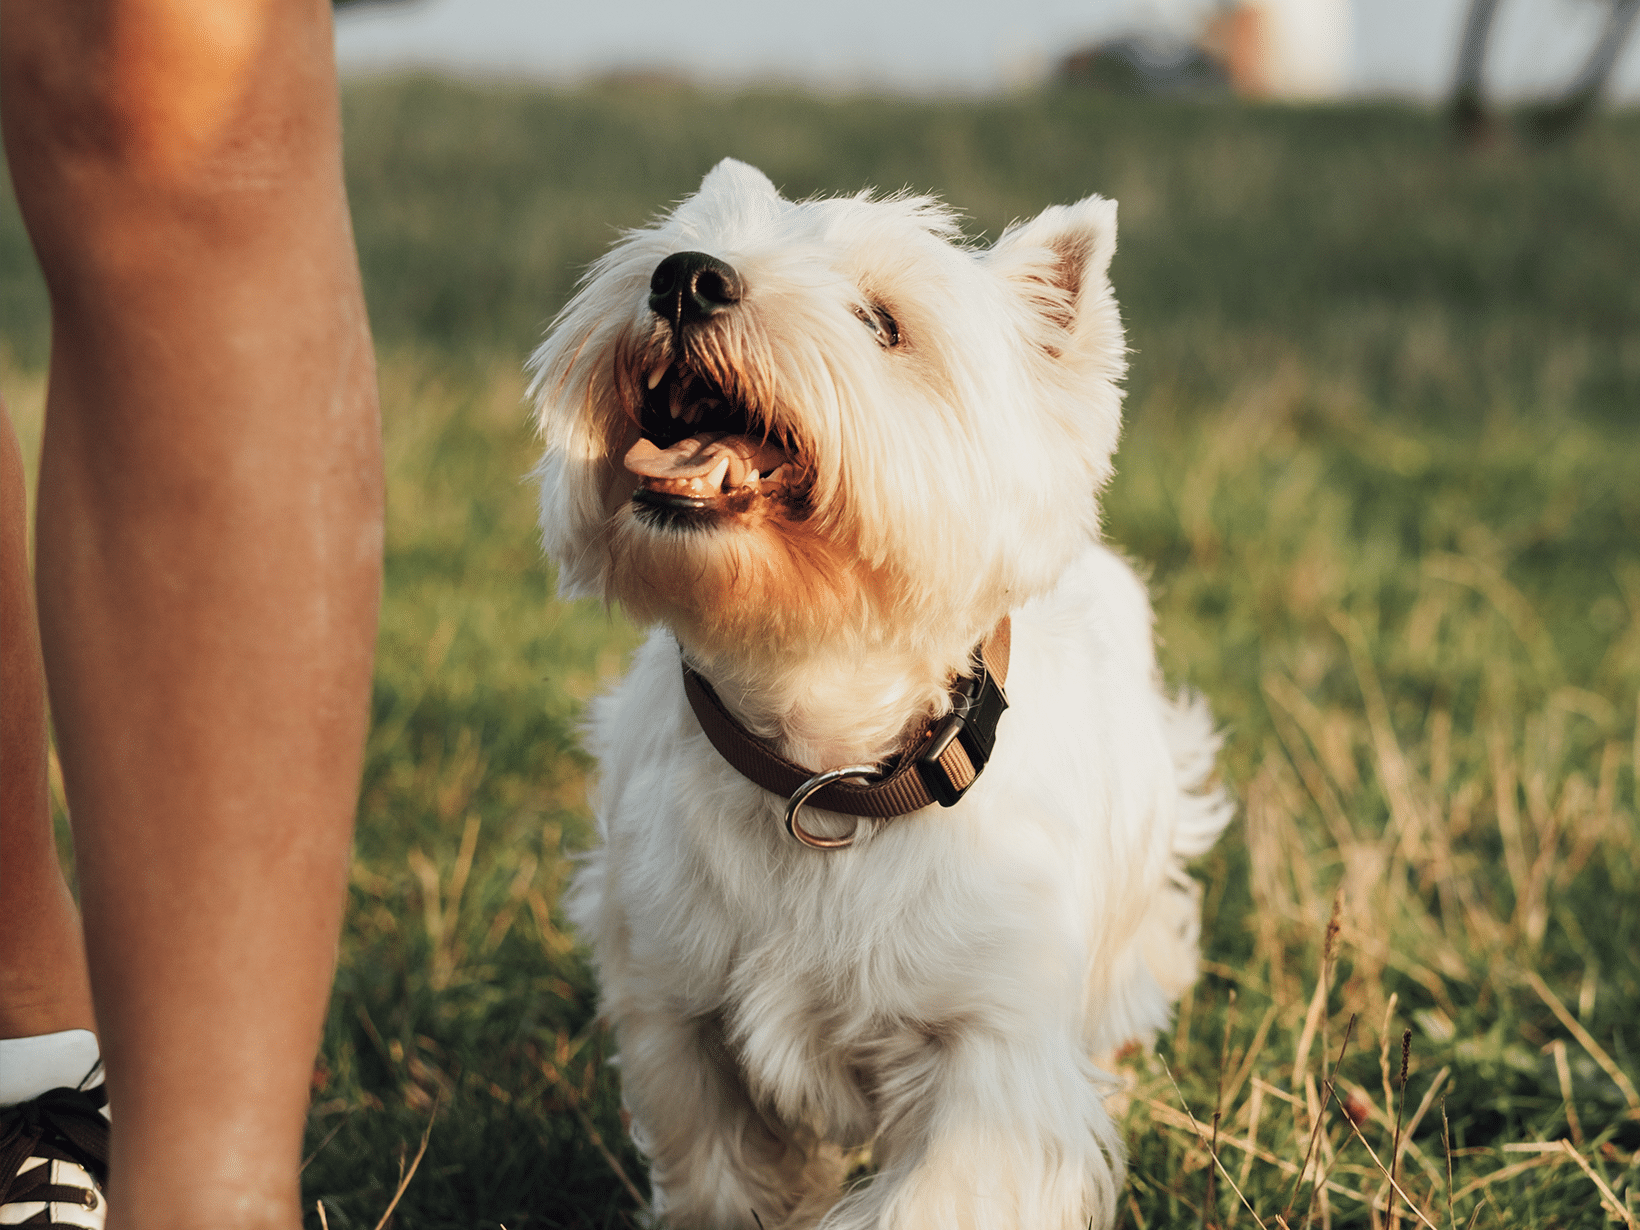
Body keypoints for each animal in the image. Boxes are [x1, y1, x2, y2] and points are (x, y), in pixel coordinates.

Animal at [534, 164, 1233, 1230]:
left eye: (882, 321)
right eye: (699, 237)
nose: (685, 277)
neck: (823, 770)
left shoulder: (989, 1056)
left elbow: (935, 1193)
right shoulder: (678, 1012)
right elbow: (718, 1176)